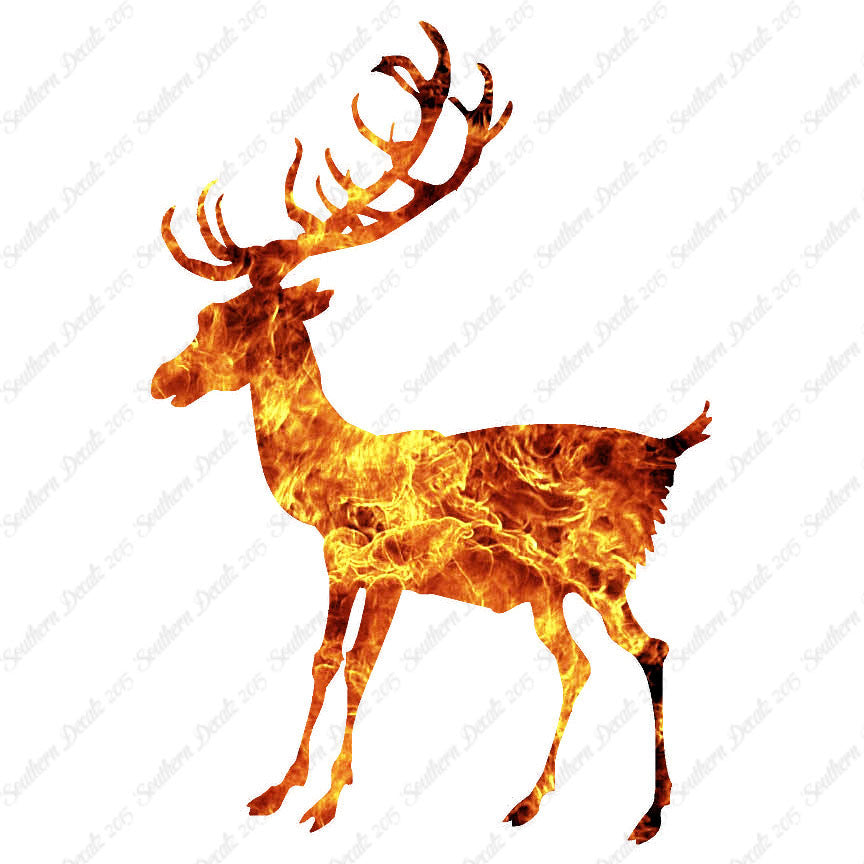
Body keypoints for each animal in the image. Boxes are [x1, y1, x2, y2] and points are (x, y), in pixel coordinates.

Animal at [151, 21, 711, 844]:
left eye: (237, 318)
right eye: (204, 312)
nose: (165, 380)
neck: (337, 476)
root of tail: (666, 451)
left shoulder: (390, 568)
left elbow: (359, 668)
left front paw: (328, 801)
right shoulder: (340, 563)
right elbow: (322, 661)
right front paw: (277, 789)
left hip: (602, 570)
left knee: (653, 647)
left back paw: (650, 813)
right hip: (549, 594)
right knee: (575, 663)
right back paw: (528, 800)